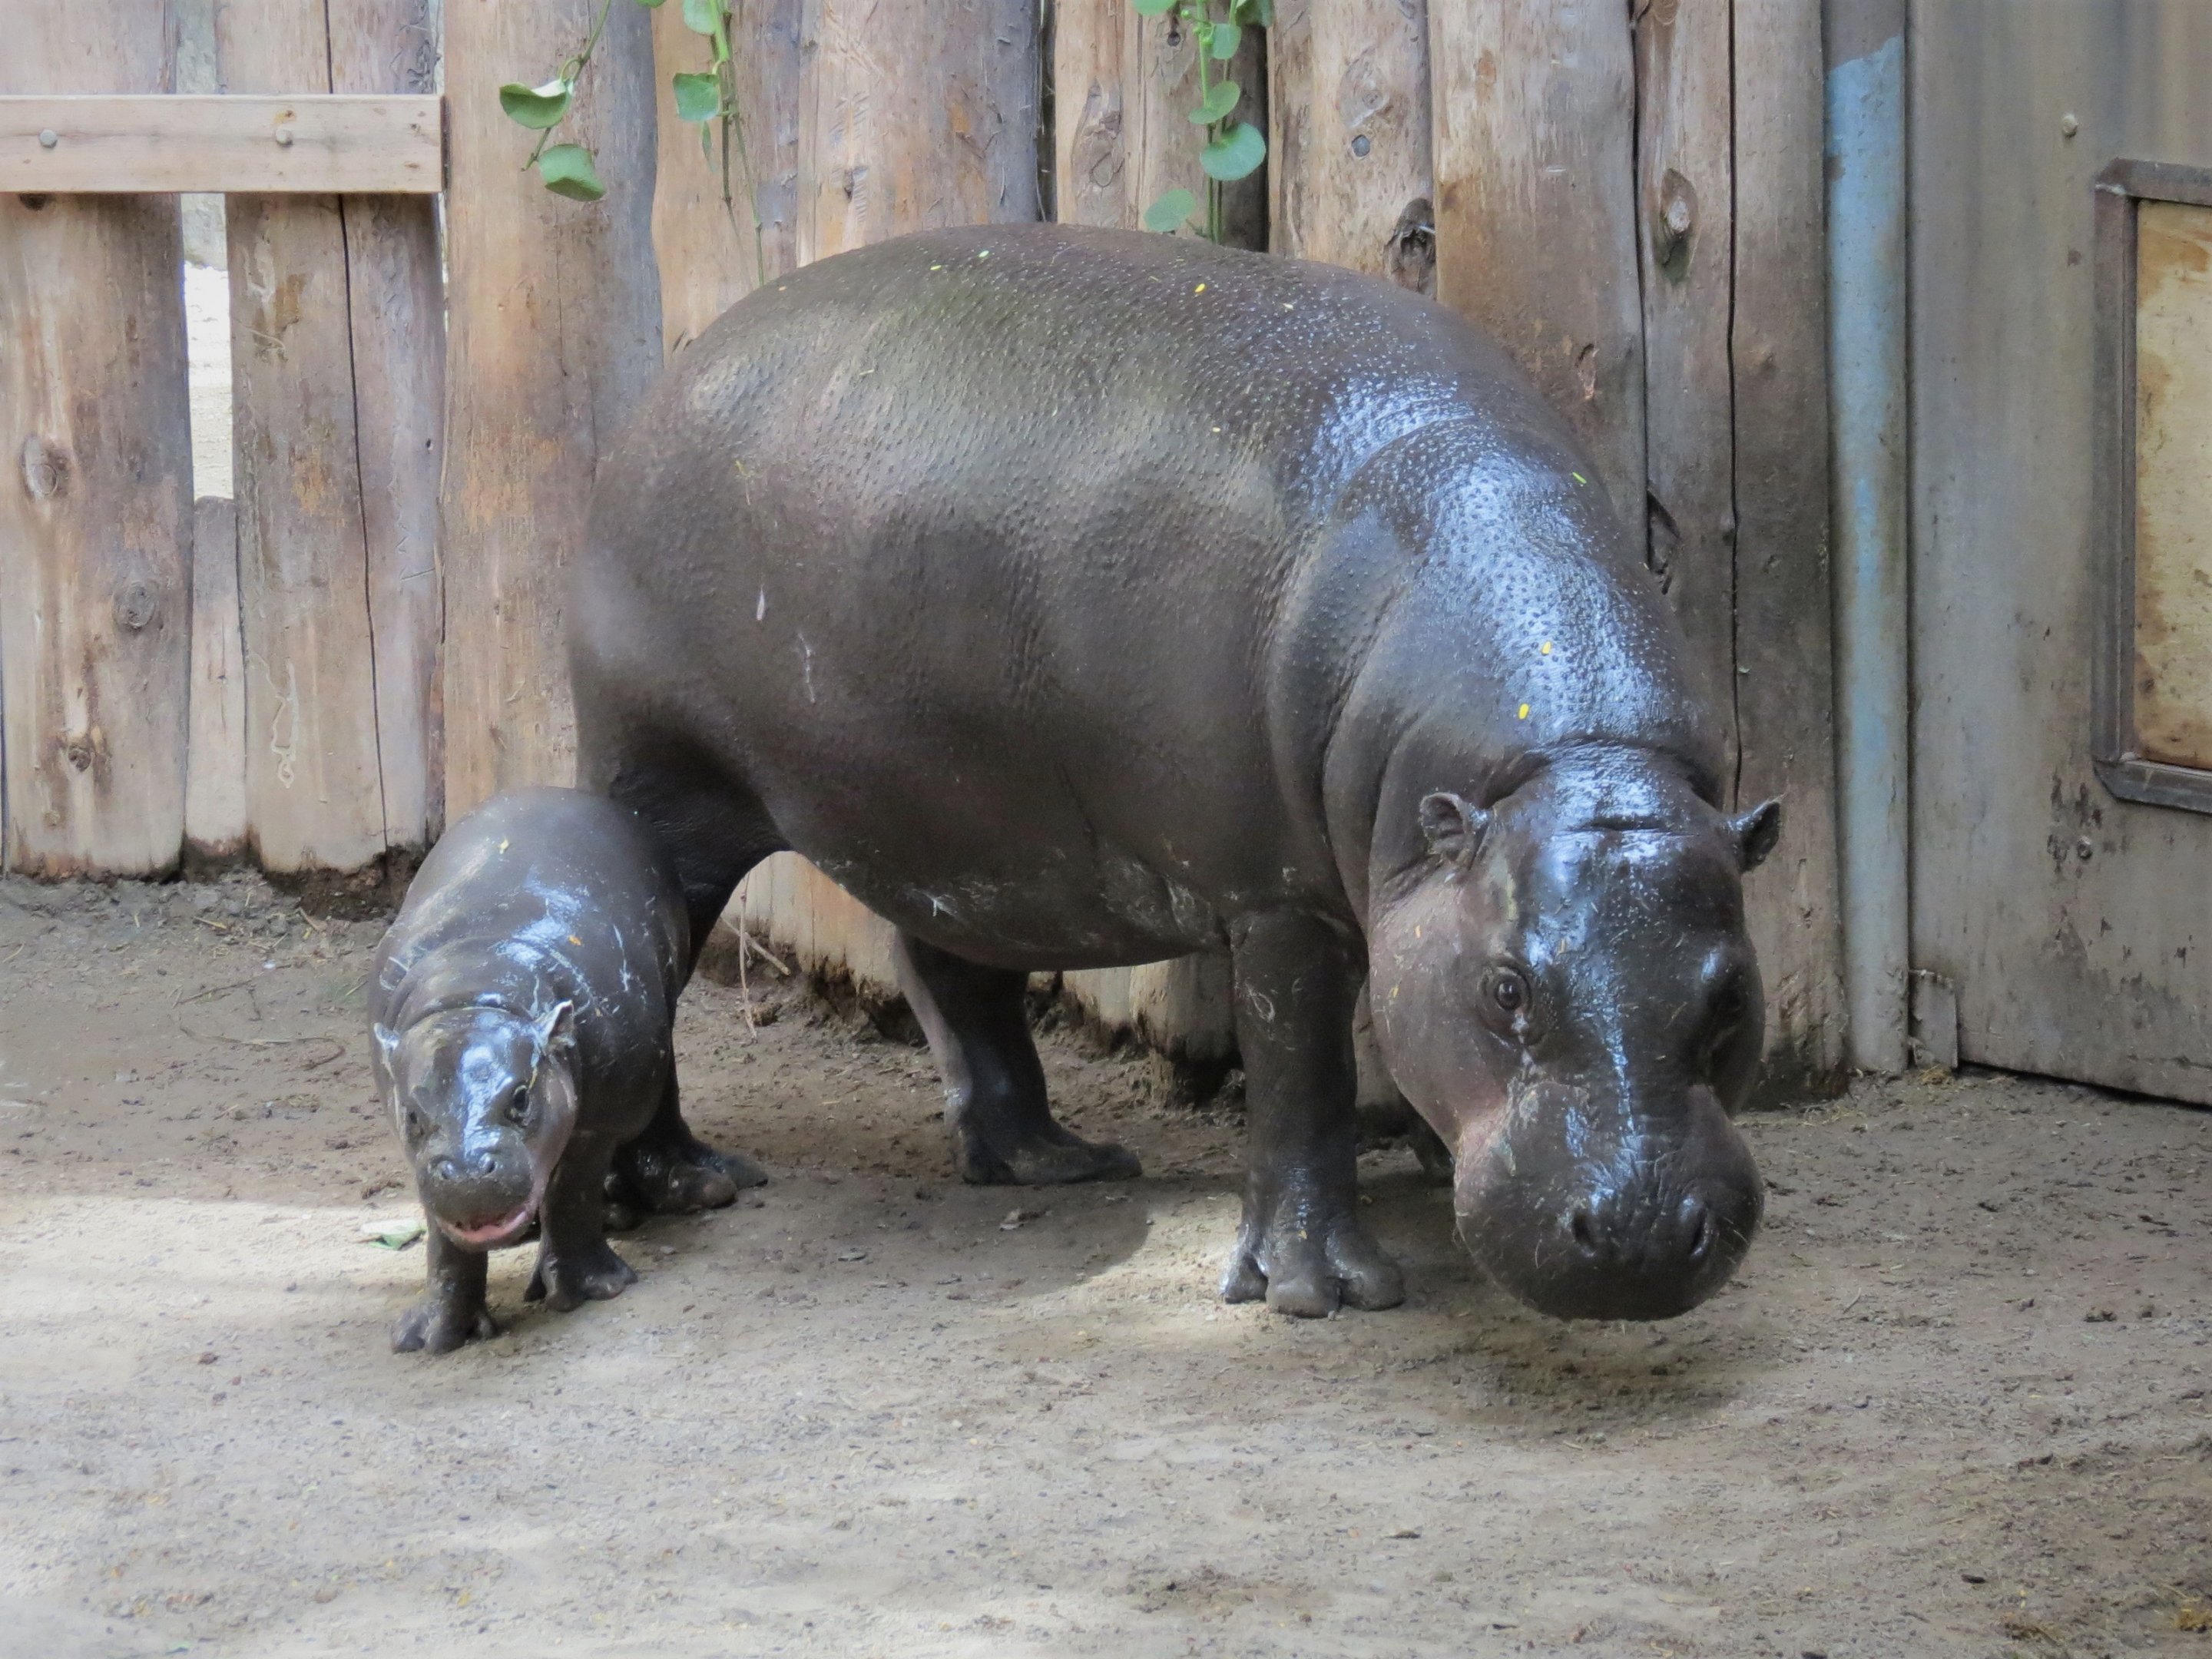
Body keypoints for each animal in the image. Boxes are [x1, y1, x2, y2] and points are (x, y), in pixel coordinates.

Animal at [371, 787, 761, 1353]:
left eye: (520, 1097)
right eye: (414, 1117)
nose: (467, 1175)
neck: (479, 986)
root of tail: (557, 791)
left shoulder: (599, 1121)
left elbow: (571, 1191)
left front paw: (592, 1290)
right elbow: (446, 1240)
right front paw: (429, 1336)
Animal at [571, 223, 1775, 1321]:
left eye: (1733, 992)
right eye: (1509, 986)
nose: (1640, 1235)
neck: (1564, 760)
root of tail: (671, 379)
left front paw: (1431, 1165)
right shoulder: (1278, 897)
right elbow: (1300, 1068)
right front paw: (1319, 1291)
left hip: (972, 818)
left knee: (953, 965)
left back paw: (1056, 1160)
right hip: (667, 784)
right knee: (657, 958)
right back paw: (688, 1186)